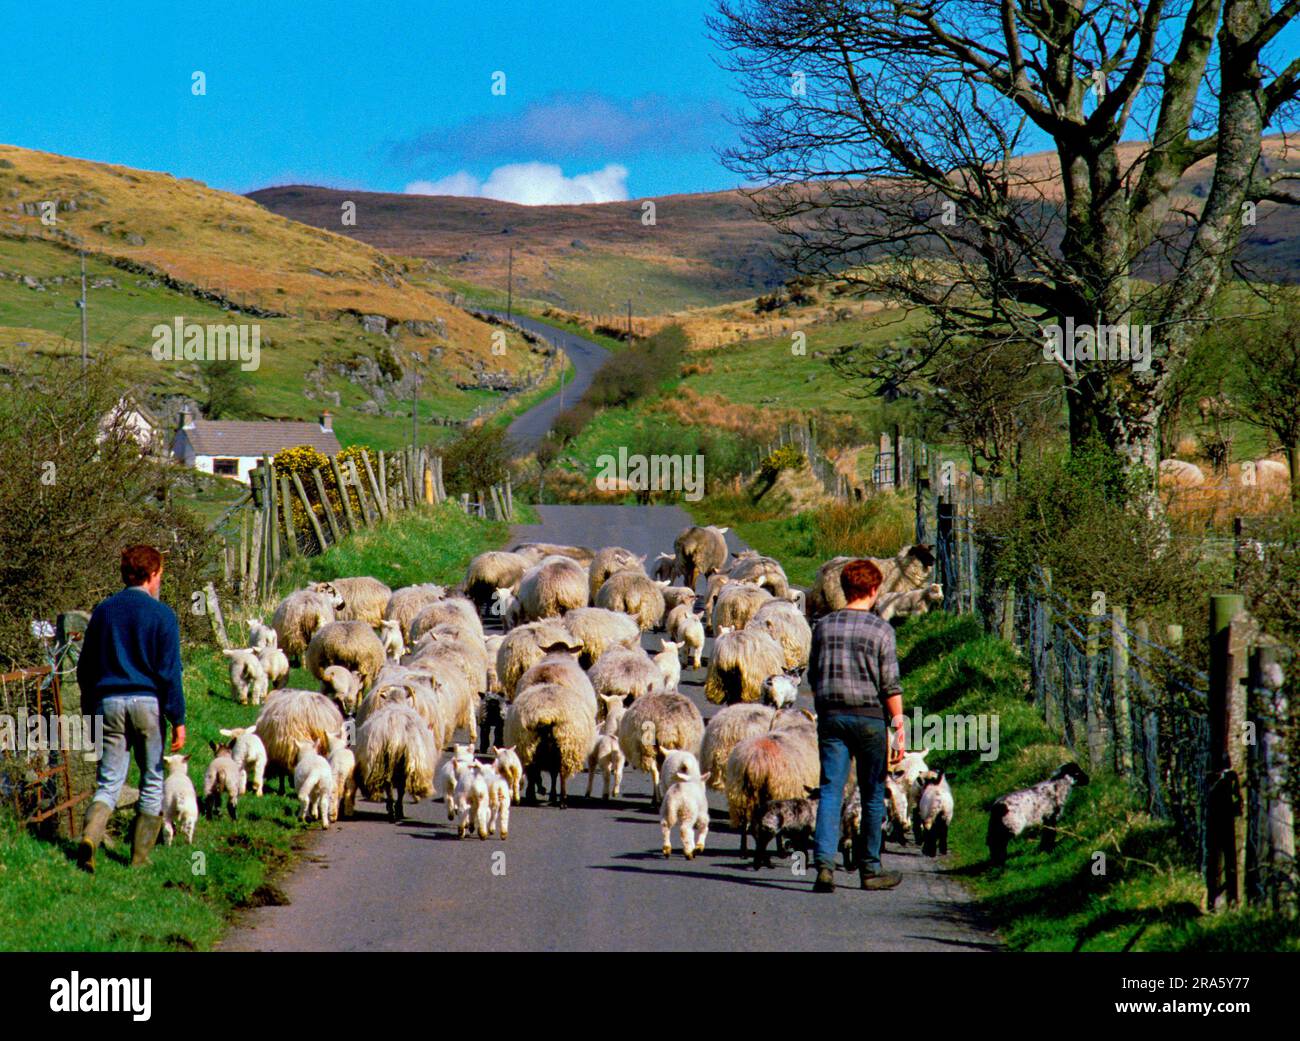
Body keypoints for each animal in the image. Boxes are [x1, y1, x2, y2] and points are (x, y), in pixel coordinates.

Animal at [504, 675, 595, 805]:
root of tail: (546, 715)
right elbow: (551, 774)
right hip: (562, 747)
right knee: (558, 773)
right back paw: (559, 799)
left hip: (535, 747)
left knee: (538, 771)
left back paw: (541, 795)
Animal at [728, 727, 816, 857]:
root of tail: (755, 761)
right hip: (775, 794)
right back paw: (780, 850)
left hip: (742, 792)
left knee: (745, 823)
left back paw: (744, 850)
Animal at [800, 543, 935, 618]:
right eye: (920, 552)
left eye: (929, 550)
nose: (933, 560)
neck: (903, 568)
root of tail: (824, 569)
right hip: (839, 600)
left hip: (824, 601)